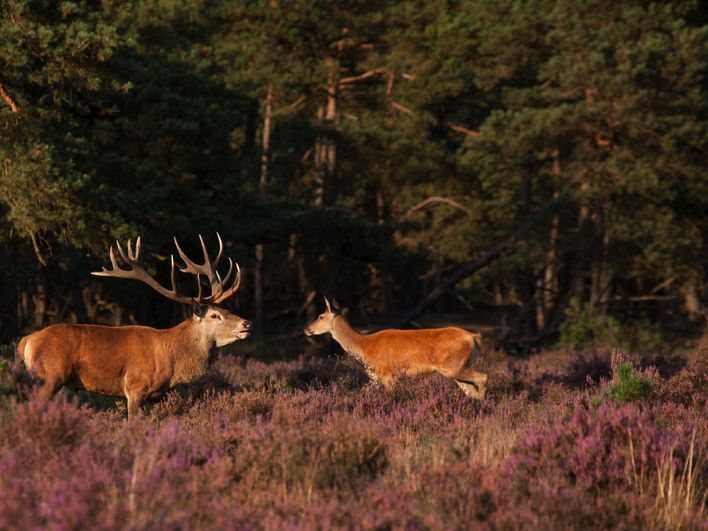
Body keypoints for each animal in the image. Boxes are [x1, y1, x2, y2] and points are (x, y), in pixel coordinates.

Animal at [17, 236, 254, 420]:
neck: (171, 361)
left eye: (225, 309)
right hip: (49, 376)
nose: (247, 323)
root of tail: (26, 341)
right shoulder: (135, 386)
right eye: (215, 315)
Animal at [304, 300, 486, 400]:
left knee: (482, 378)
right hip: (456, 369)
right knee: (472, 391)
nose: (306, 329)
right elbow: (361, 391)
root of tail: (473, 337)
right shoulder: (375, 377)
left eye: (320, 316)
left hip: (454, 365)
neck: (364, 347)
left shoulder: (387, 373)